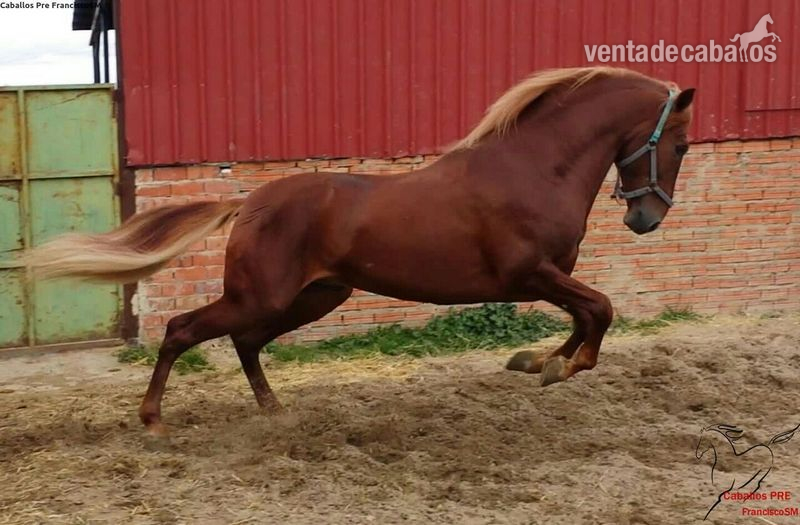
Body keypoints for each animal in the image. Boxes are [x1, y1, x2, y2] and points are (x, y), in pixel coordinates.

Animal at [25, 67, 696, 436]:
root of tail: (249, 202)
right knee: (182, 329)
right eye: (681, 145)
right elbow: (601, 309)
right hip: (261, 295)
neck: (533, 167)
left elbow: (586, 316)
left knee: (244, 342)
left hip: (314, 297)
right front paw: (558, 366)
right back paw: (153, 420)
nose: (646, 218)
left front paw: (537, 363)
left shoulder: (548, 278)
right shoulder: (529, 273)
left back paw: (273, 410)